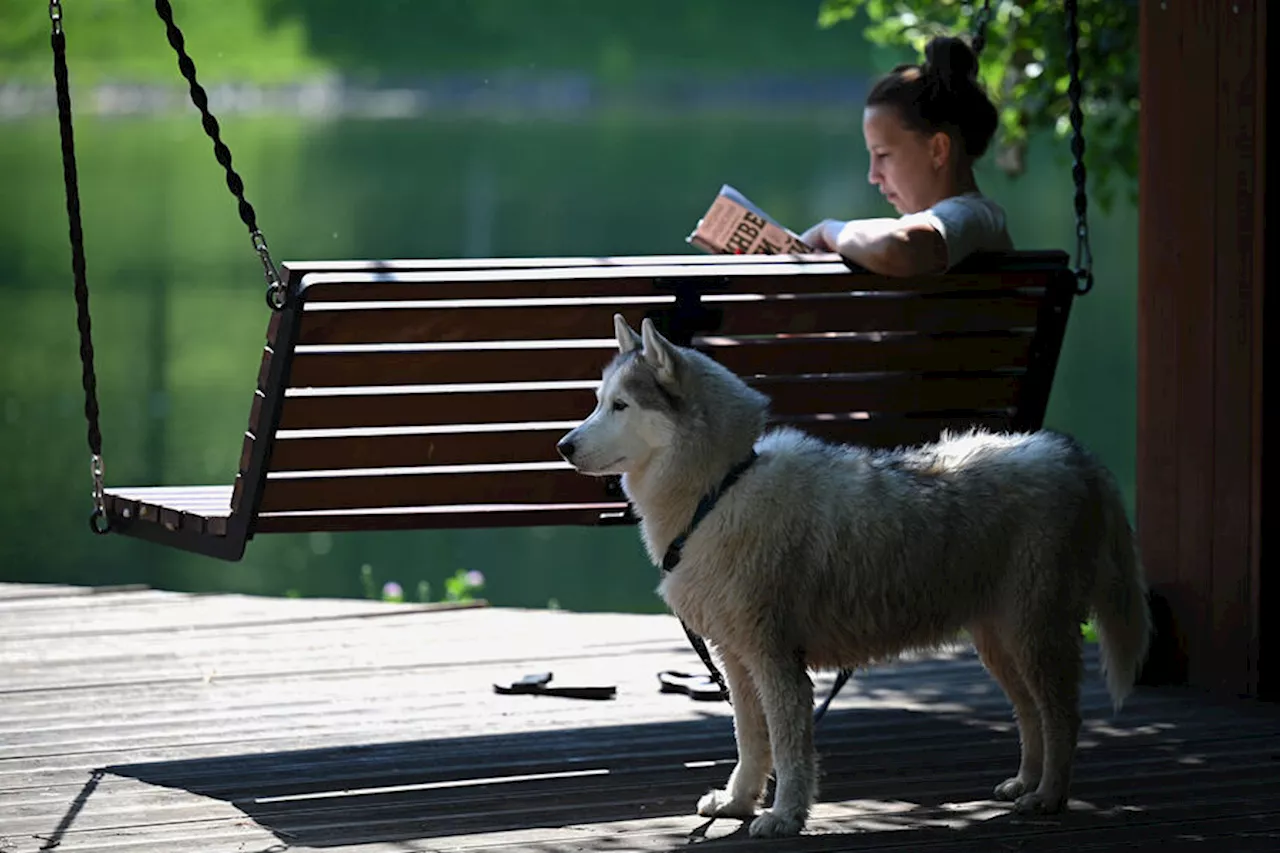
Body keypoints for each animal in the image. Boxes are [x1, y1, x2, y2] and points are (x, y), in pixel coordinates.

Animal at [555, 313, 1157, 835]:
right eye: (598, 403)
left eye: (620, 406)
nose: (562, 446)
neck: (722, 486)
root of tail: (1072, 455)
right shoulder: (737, 659)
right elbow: (750, 741)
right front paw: (737, 802)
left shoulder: (777, 662)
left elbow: (789, 751)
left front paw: (784, 817)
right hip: (999, 642)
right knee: (1031, 716)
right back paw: (1025, 785)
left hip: (1034, 636)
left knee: (1063, 720)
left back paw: (1050, 795)